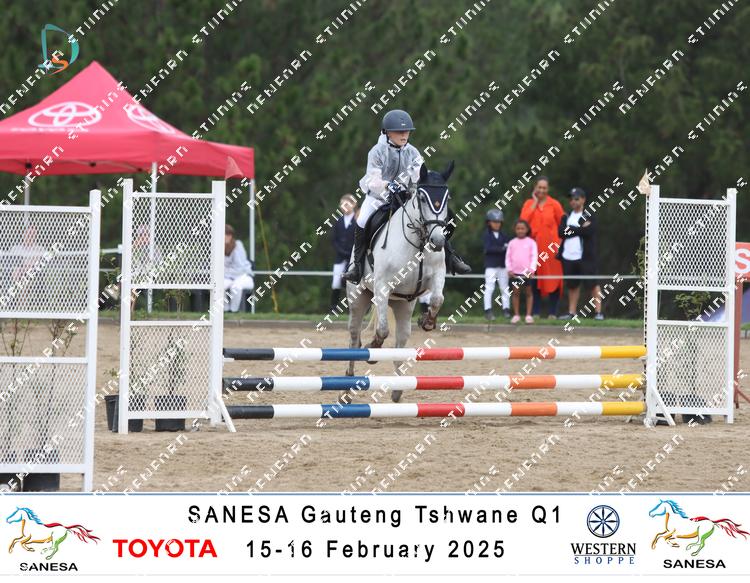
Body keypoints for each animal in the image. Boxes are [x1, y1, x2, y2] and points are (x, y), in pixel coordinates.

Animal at [346, 162, 452, 403]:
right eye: (422, 197)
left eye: (447, 197)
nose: (438, 240)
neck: (418, 242)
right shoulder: (382, 287)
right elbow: (383, 330)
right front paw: (373, 347)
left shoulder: (436, 276)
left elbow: (438, 298)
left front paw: (428, 321)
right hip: (359, 298)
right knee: (355, 338)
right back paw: (346, 387)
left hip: (403, 304)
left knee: (400, 344)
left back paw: (396, 390)